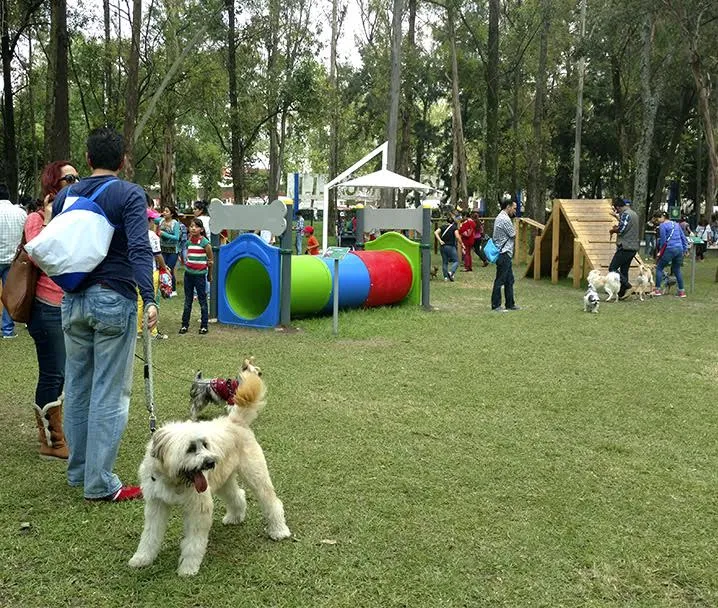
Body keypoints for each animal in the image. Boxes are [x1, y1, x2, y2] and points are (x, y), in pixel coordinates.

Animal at [128, 370, 292, 576]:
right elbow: (150, 536)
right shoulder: (156, 505)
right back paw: (235, 517)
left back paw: (279, 531)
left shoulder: (198, 509)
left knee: (272, 502)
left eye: (205, 444)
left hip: (256, 476)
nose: (210, 462)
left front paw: (188, 568)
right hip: (224, 480)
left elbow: (193, 543)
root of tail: (234, 421)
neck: (174, 481)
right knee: (237, 495)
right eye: (190, 448)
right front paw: (142, 558)